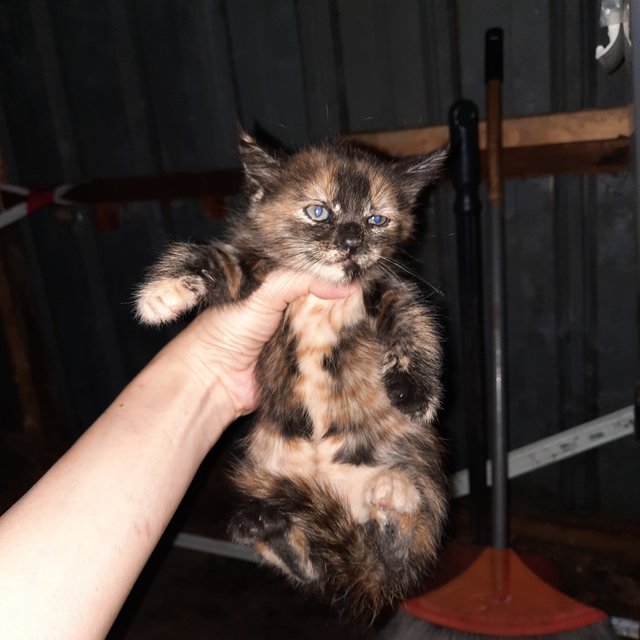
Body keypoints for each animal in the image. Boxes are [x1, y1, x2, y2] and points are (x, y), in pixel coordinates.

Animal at [135, 131, 448, 620]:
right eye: (319, 212)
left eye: (376, 219)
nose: (352, 239)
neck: (322, 296)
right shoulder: (255, 275)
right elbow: (216, 258)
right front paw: (162, 292)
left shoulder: (385, 285)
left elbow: (413, 317)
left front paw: (416, 390)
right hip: (268, 462)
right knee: (312, 564)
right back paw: (265, 524)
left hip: (417, 453)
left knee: (403, 543)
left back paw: (393, 494)